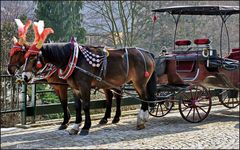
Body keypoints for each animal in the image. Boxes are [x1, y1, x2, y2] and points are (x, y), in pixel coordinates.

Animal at [22, 20, 156, 136]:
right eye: (25, 56)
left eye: (33, 57)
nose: (25, 76)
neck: (74, 59)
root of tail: (147, 53)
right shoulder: (75, 88)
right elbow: (77, 106)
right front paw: (75, 126)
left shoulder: (84, 86)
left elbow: (86, 105)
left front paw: (86, 127)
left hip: (139, 82)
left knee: (144, 97)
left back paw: (141, 120)